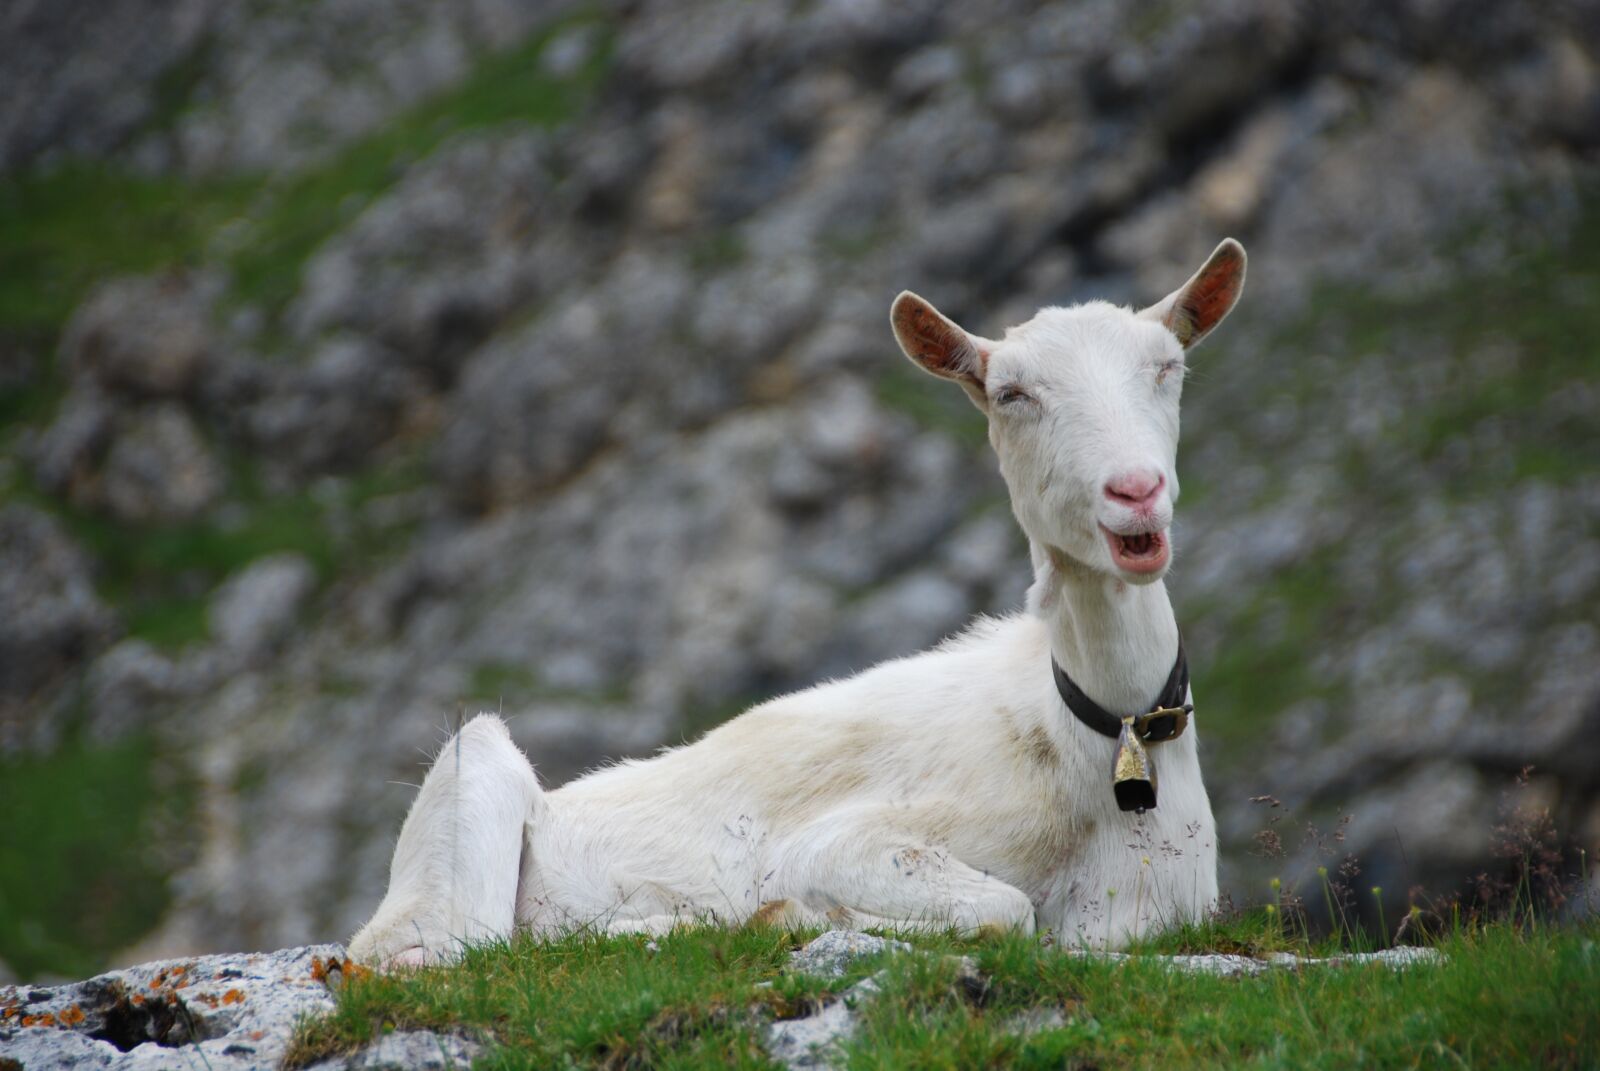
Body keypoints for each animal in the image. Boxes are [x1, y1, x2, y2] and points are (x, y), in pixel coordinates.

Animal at [349, 239, 1247, 966]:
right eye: (1011, 393)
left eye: (1168, 367)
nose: (1135, 491)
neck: (1098, 738)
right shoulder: (842, 841)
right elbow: (1006, 909)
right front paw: (789, 913)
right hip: (472, 774)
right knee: (445, 951)